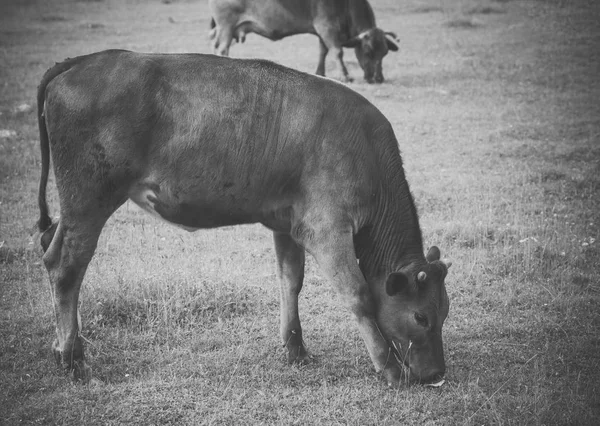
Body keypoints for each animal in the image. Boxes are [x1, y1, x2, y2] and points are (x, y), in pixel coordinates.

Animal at [36, 50, 450, 386]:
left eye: (444, 312)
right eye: (421, 318)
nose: (436, 374)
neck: (366, 150)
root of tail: (85, 61)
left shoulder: (289, 223)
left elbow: (291, 282)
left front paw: (295, 349)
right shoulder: (328, 228)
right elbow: (359, 294)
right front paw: (389, 368)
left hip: (74, 210)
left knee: (50, 247)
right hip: (88, 201)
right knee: (66, 266)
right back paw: (72, 359)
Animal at [209, 0, 400, 83]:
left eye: (385, 53)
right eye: (368, 52)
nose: (378, 78)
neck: (346, 5)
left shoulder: (323, 33)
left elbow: (323, 51)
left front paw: (320, 72)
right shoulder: (327, 28)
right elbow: (337, 51)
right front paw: (345, 75)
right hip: (226, 26)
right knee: (223, 49)